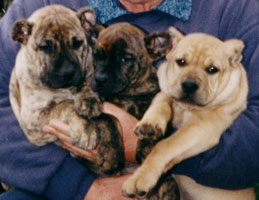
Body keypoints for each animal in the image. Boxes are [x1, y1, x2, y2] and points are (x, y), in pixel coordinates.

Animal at [122, 27, 256, 200]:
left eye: (212, 70)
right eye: (181, 62)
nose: (189, 85)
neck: (186, 108)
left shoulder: (201, 128)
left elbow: (164, 146)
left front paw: (140, 178)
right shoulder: (168, 91)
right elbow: (162, 102)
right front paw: (151, 123)